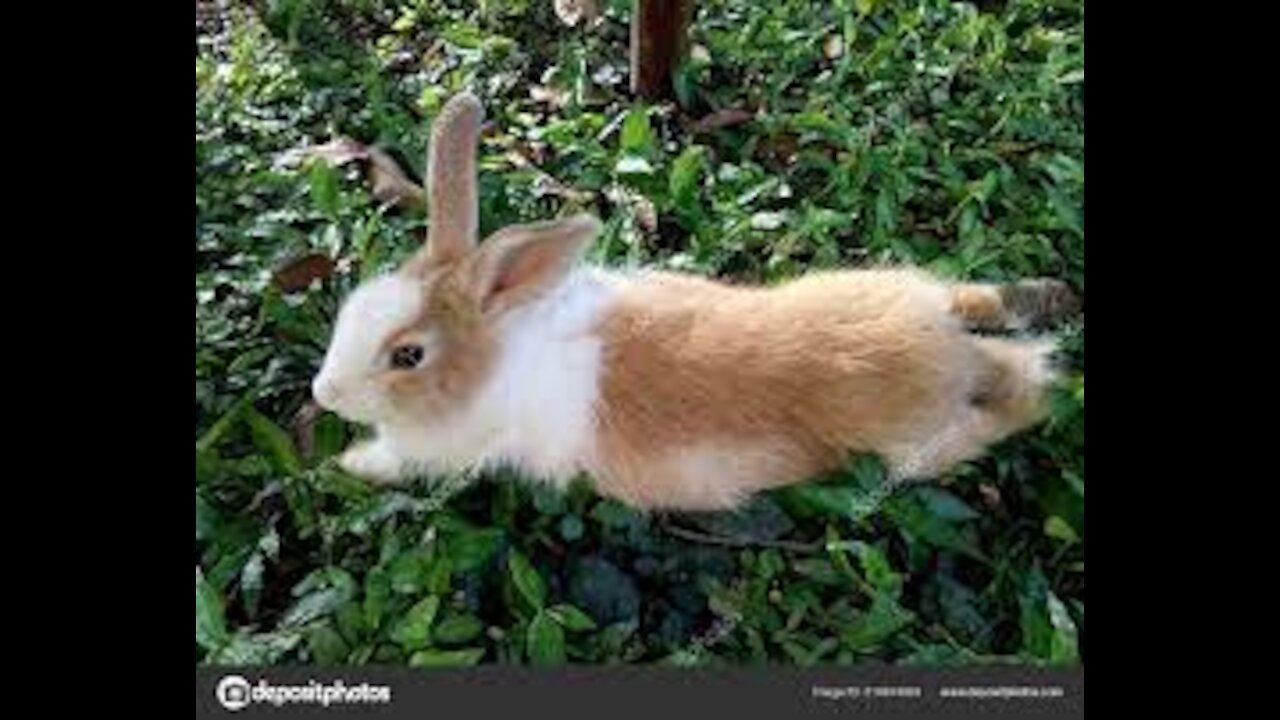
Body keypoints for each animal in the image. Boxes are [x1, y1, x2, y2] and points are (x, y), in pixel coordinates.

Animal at [312, 90, 1080, 509]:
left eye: (408, 355)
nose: (324, 394)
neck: (500, 344)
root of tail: (943, 348)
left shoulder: (453, 449)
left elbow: (396, 461)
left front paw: (341, 465)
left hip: (915, 445)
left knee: (1020, 393)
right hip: (908, 289)